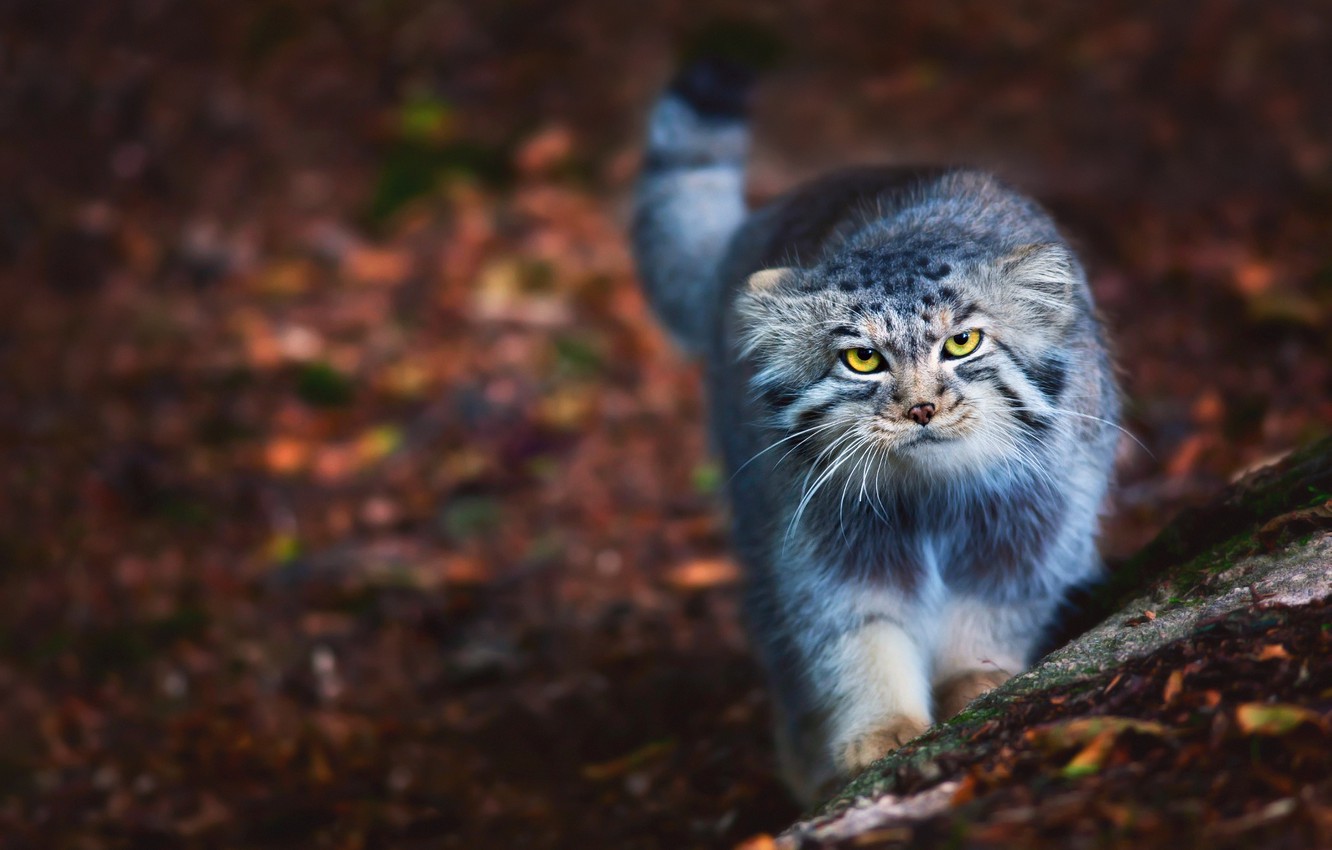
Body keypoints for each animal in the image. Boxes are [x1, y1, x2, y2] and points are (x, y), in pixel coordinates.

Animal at [628, 61, 1118, 804]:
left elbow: (989, 612)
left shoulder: (1034, 523)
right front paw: (880, 729)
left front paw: (978, 679)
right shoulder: (827, 543)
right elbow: (859, 637)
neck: (935, 495)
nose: (920, 410)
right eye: (863, 359)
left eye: (963, 343)